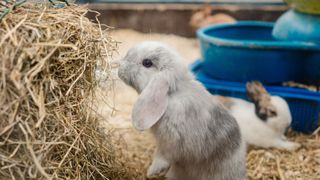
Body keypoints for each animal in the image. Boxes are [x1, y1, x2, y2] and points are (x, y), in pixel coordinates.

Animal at [119, 41, 246, 180]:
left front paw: (153, 171)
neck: (171, 95)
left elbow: (163, 156)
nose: (119, 68)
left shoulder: (171, 141)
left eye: (147, 63)